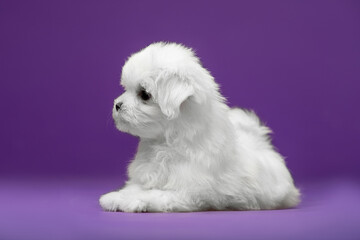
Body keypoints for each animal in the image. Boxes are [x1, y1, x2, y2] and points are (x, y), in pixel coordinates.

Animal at [100, 41, 300, 212]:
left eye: (144, 94)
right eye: (125, 89)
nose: (117, 105)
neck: (164, 143)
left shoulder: (185, 192)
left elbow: (155, 195)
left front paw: (131, 201)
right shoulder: (145, 176)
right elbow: (135, 187)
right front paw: (115, 197)